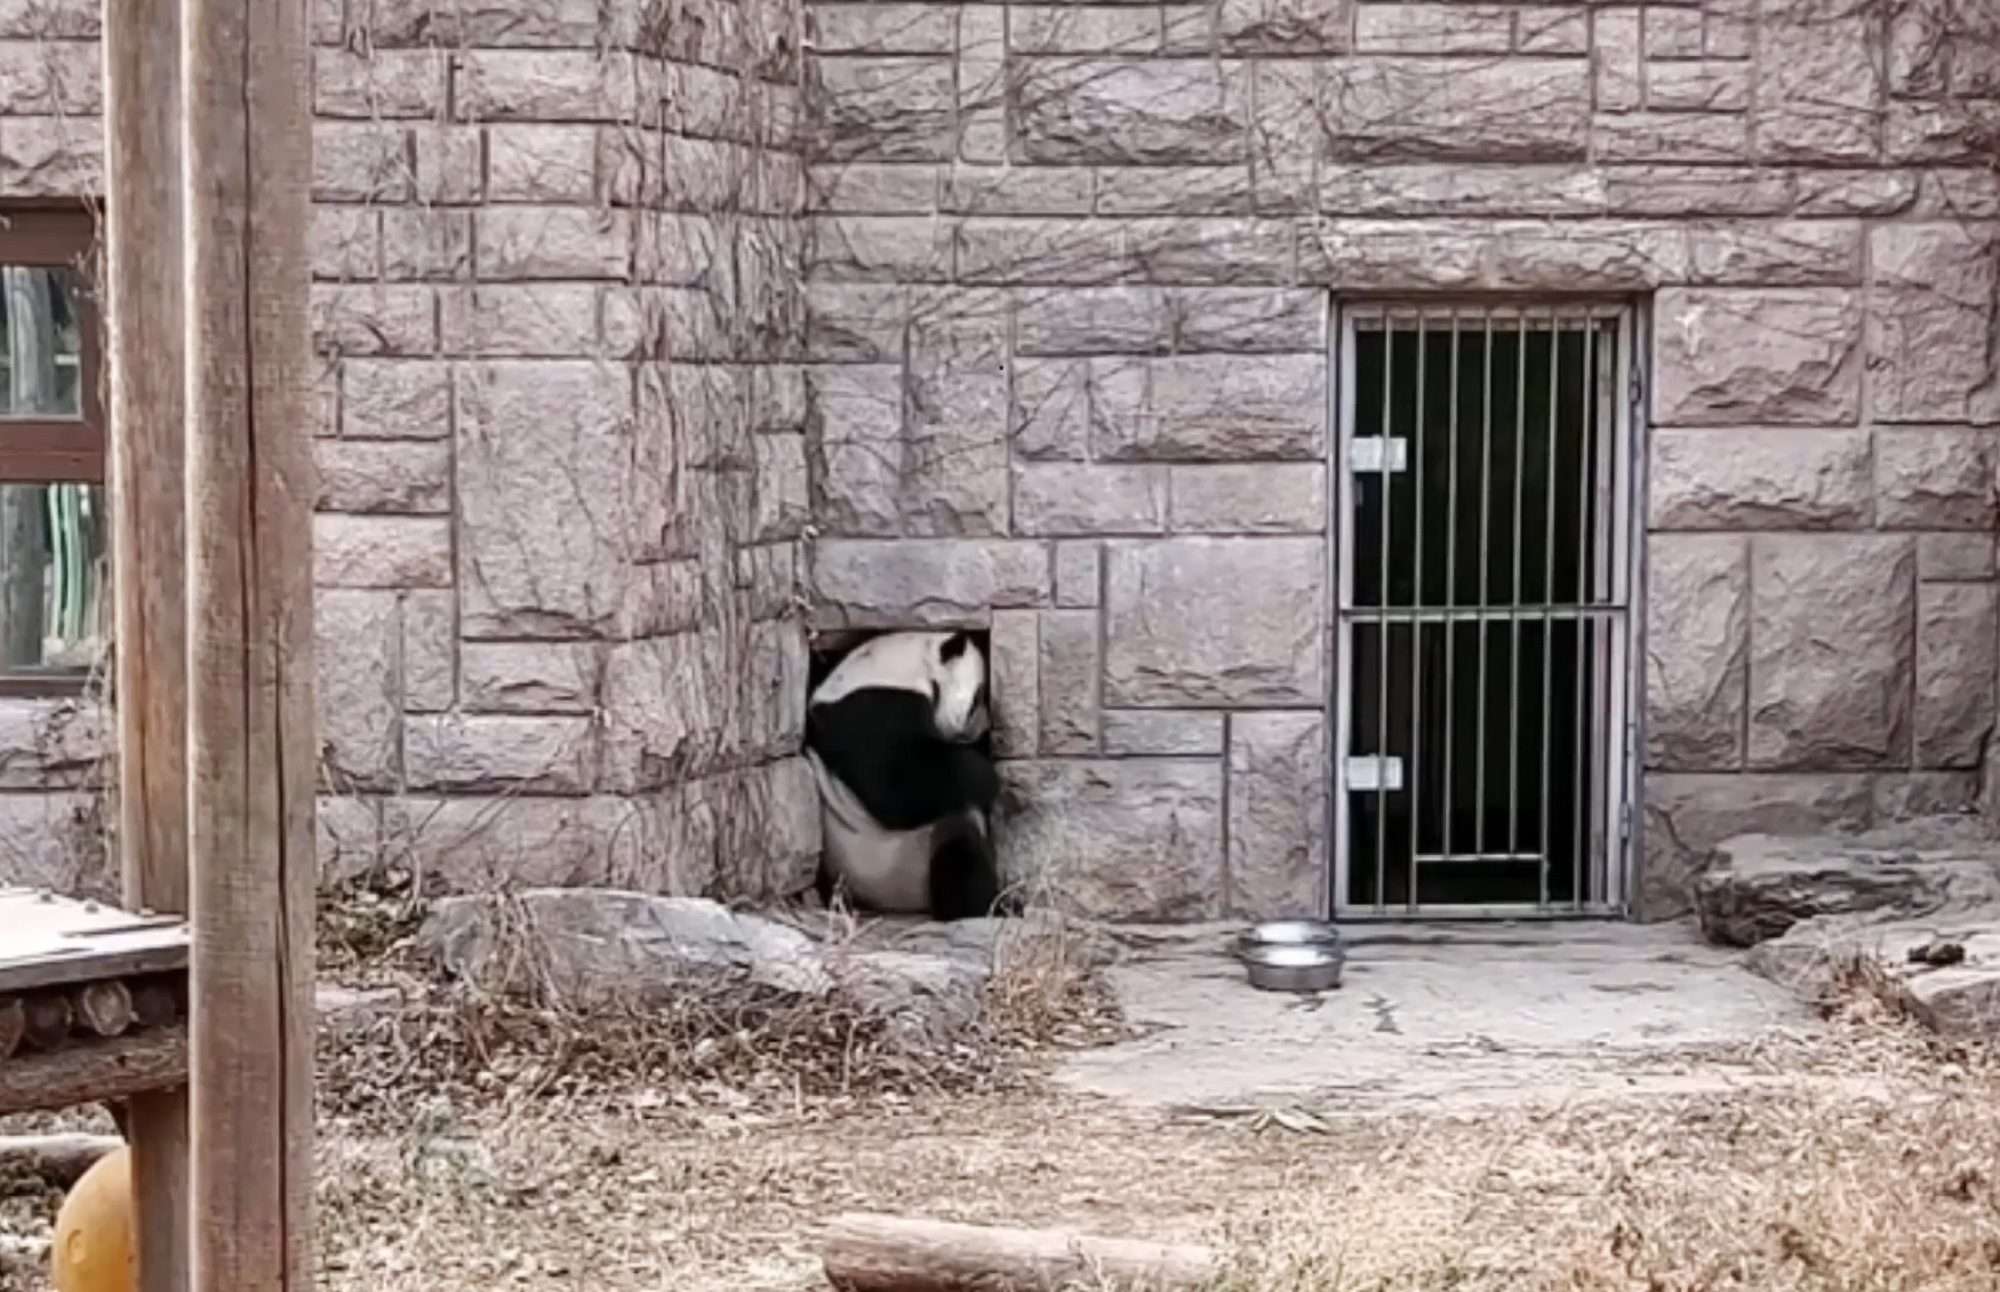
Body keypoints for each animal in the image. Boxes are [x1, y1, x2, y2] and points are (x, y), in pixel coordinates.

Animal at [800, 636, 1008, 920]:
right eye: (977, 698)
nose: (984, 726)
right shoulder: (871, 709)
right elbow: (899, 784)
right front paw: (987, 777)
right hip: (885, 863)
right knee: (959, 841)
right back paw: (980, 908)